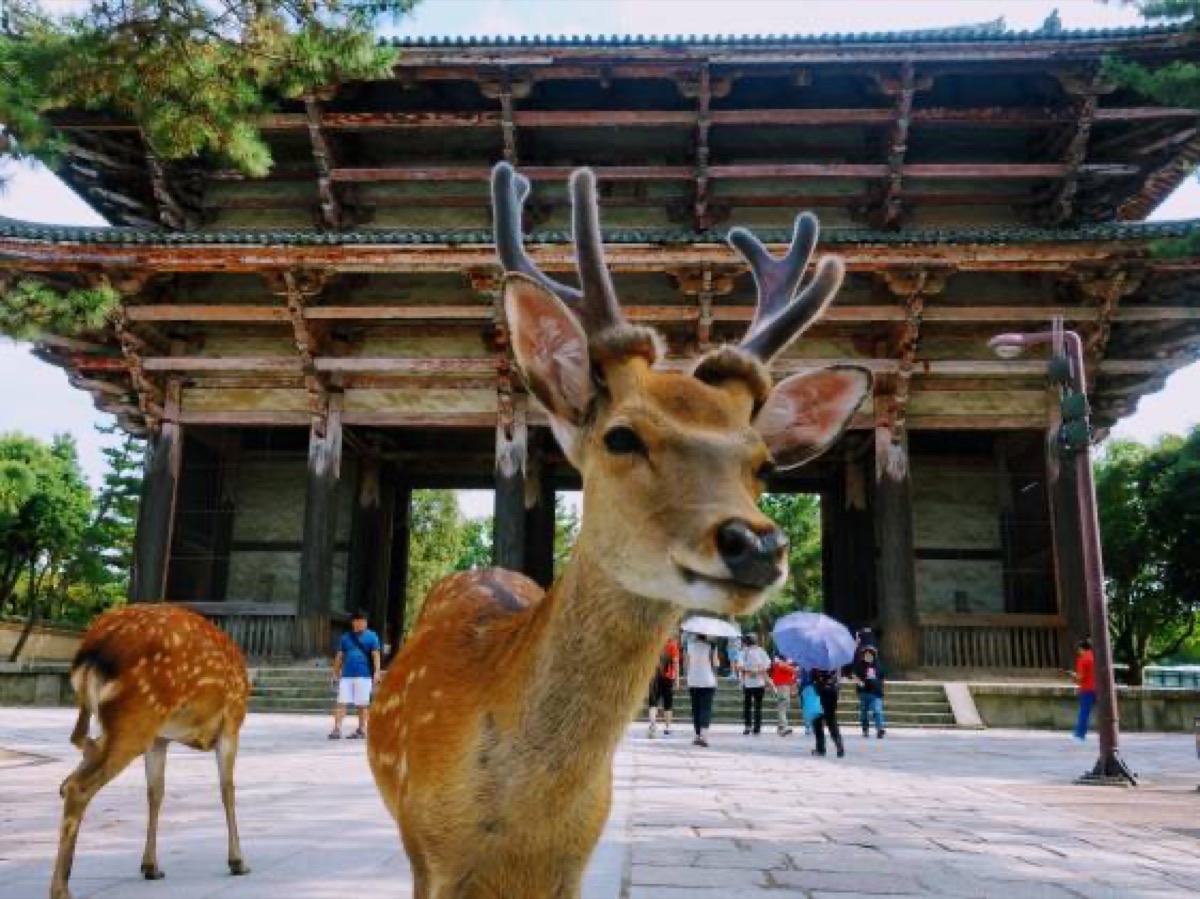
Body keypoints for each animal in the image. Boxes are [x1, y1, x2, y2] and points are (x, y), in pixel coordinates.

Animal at [50, 604, 251, 899]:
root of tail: (93, 651)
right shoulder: (231, 723)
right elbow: (228, 790)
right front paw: (238, 861)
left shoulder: (160, 738)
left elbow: (155, 792)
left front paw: (151, 866)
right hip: (136, 717)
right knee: (78, 786)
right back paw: (61, 889)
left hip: (122, 724)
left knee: (68, 778)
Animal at [366, 162, 871, 899]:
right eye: (622, 436)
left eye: (762, 462)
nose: (756, 544)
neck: (519, 828)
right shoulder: (431, 857)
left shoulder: (573, 865)